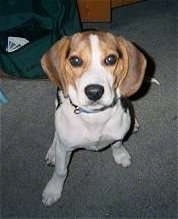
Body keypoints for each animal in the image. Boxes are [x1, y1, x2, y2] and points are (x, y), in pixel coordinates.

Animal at [40, 31, 146, 207]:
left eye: (111, 59)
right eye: (75, 60)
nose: (94, 92)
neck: (94, 116)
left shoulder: (117, 134)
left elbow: (117, 144)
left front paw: (120, 155)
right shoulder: (65, 148)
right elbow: (61, 171)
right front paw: (53, 190)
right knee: (56, 134)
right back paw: (52, 152)